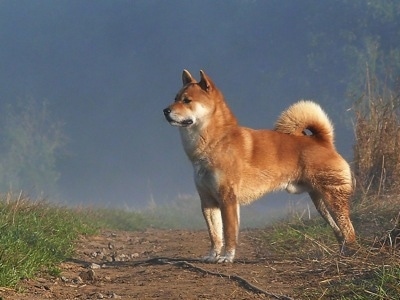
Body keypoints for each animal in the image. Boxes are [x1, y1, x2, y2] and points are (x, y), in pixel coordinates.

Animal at [162, 70, 356, 262]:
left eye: (187, 100)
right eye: (175, 98)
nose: (165, 110)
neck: (215, 142)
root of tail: (323, 142)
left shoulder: (227, 199)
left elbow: (229, 233)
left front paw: (227, 257)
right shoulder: (208, 201)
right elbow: (215, 234)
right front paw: (213, 255)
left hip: (332, 198)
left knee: (348, 229)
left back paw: (351, 253)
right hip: (320, 202)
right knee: (339, 231)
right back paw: (342, 254)